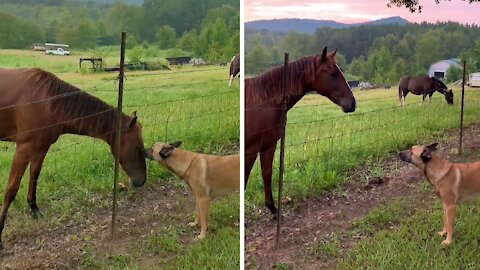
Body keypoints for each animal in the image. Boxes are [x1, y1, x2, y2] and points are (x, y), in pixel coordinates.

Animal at [0, 67, 146, 249]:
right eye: (137, 148)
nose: (141, 181)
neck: (48, 101)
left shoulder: (41, 147)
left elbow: (34, 175)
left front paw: (34, 209)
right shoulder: (23, 148)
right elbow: (11, 190)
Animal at [246, 47, 354, 216]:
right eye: (332, 74)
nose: (352, 103)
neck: (265, 102)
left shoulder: (268, 145)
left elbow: (267, 173)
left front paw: (273, 209)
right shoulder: (251, 149)